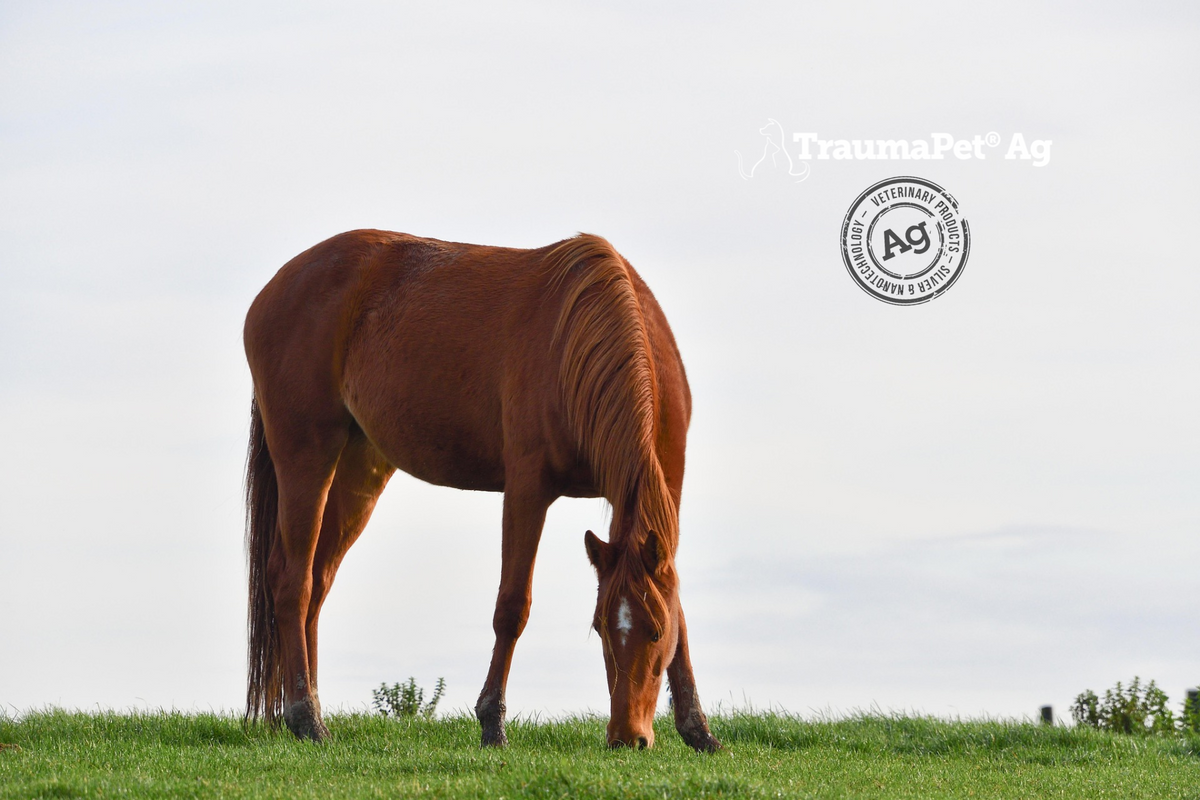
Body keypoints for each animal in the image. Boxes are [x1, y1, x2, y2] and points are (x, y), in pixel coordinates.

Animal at [242, 229, 720, 751]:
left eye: (654, 633)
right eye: (599, 629)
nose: (626, 737)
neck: (586, 336)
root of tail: (273, 290)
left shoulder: (665, 494)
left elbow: (680, 612)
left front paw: (697, 727)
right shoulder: (528, 489)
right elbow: (512, 607)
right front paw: (492, 721)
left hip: (357, 471)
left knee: (318, 582)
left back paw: (310, 709)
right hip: (306, 457)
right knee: (293, 581)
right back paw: (306, 717)